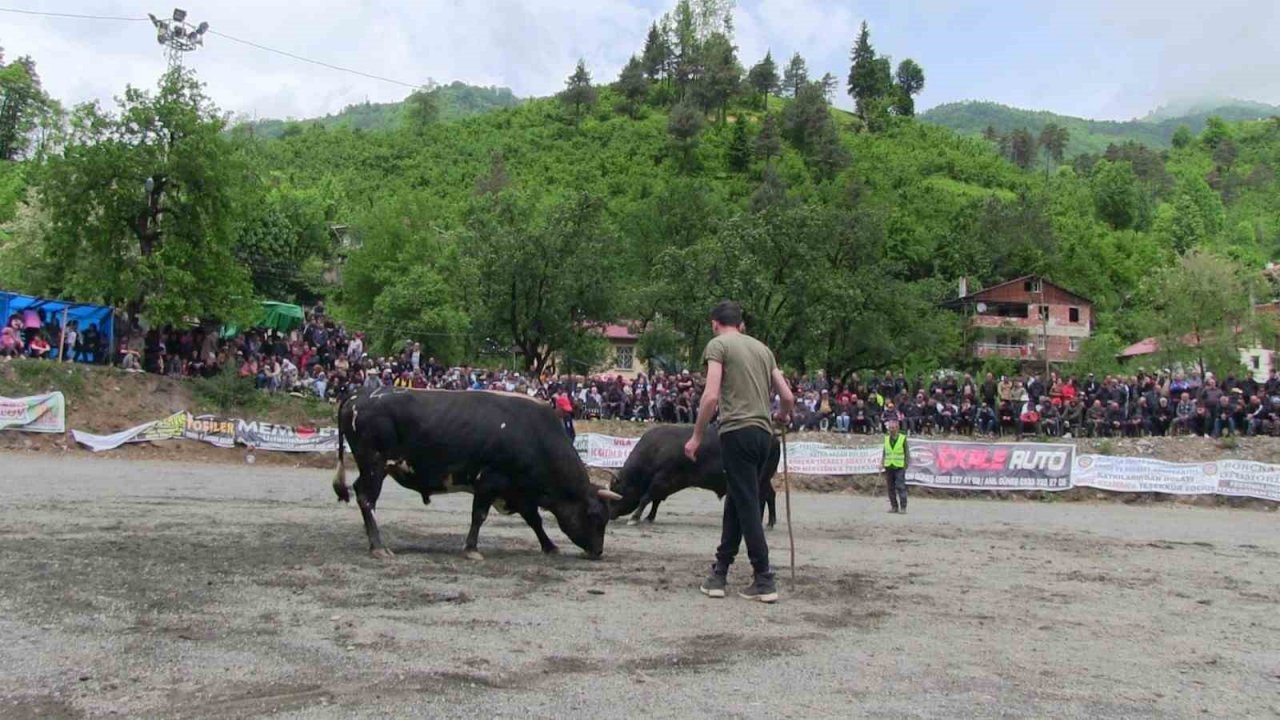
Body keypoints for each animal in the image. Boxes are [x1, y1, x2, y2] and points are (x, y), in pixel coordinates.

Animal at [332, 389, 622, 558]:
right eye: (595, 516)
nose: (598, 551)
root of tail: (358, 397)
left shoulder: (519, 491)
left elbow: (535, 520)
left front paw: (549, 546)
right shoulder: (490, 481)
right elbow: (479, 516)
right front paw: (471, 549)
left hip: (370, 467)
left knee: (359, 492)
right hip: (375, 464)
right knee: (366, 498)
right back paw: (379, 546)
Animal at [609, 422, 778, 525]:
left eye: (617, 490)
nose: (609, 514)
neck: (656, 449)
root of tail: (774, 437)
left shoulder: (661, 480)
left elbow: (646, 498)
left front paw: (635, 517)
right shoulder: (663, 485)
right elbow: (655, 500)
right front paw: (649, 517)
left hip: (760, 479)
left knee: (762, 497)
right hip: (765, 480)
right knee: (770, 495)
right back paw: (769, 522)